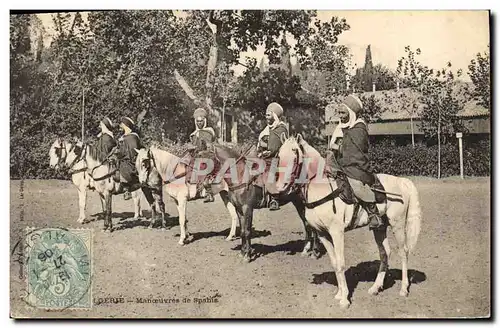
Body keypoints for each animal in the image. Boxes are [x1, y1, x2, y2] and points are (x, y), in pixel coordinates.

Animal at [278, 135, 422, 308]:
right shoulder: (322, 234)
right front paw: (339, 294)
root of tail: (402, 181)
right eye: (279, 154)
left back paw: (403, 289)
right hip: (379, 227)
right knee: (385, 253)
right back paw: (375, 287)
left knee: (403, 252)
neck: (322, 188)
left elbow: (340, 263)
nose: (281, 186)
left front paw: (345, 300)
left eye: (294, 153)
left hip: (397, 224)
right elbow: (334, 263)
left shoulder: (336, 232)